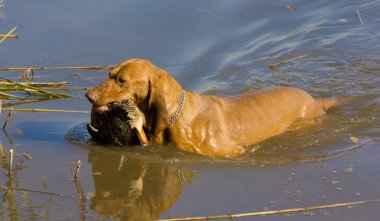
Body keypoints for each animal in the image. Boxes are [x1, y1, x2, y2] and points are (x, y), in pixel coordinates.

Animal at [84, 59, 336, 157]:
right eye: (109, 74)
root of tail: (316, 101)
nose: (88, 95)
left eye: (122, 81)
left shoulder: (234, 151)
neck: (176, 118)